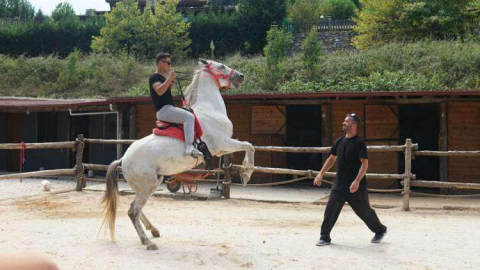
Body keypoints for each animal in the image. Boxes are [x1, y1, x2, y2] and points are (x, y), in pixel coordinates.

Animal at [101, 58, 255, 250]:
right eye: (220, 66)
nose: (241, 76)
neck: (210, 110)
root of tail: (123, 159)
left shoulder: (224, 146)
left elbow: (248, 146)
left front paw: (244, 172)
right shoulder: (223, 144)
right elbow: (249, 146)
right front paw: (246, 173)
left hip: (151, 184)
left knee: (136, 207)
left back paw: (153, 230)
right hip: (147, 186)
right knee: (133, 211)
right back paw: (148, 242)